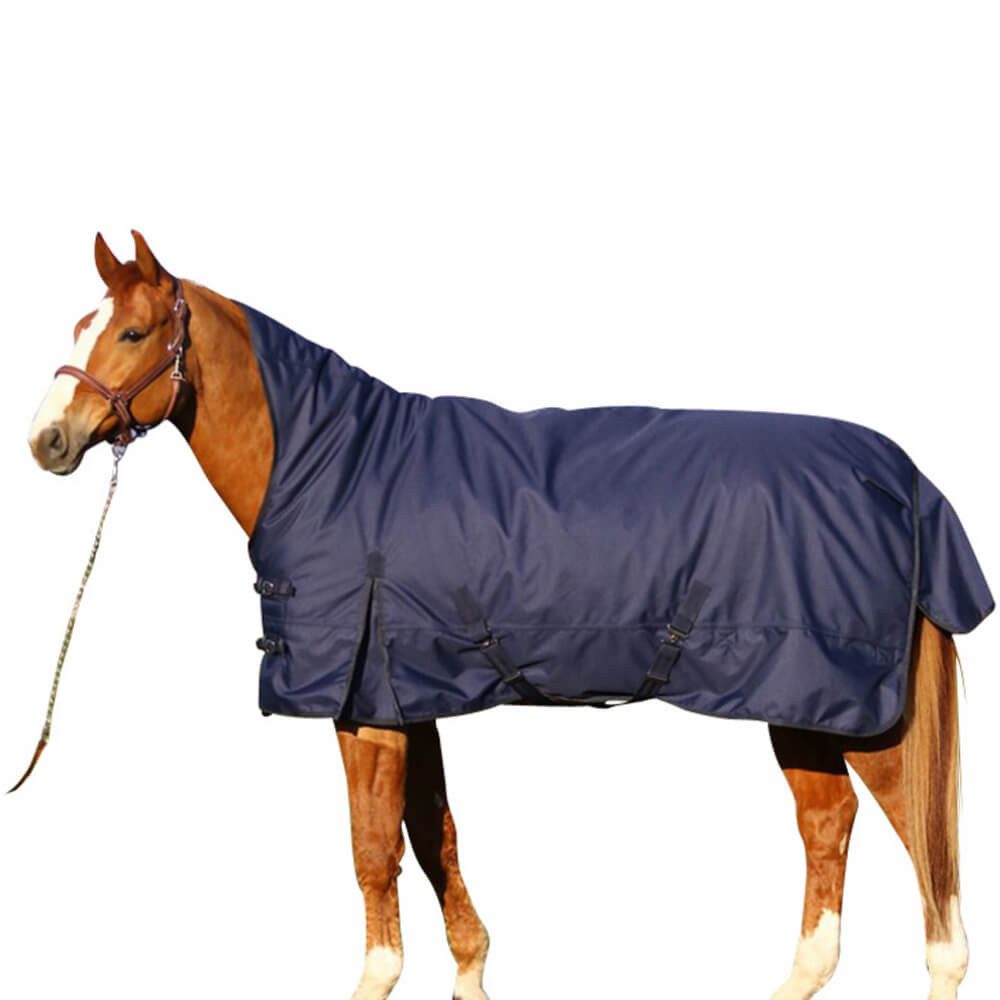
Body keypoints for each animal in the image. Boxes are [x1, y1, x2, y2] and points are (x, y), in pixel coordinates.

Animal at [25, 230, 986, 1000]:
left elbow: (373, 850)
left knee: (928, 876)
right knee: (829, 828)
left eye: (133, 332)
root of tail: (902, 479)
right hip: (803, 707)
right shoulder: (406, 698)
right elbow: (434, 836)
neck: (340, 468)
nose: (47, 442)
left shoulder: (360, 710)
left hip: (861, 714)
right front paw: (471, 970)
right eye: (78, 329)